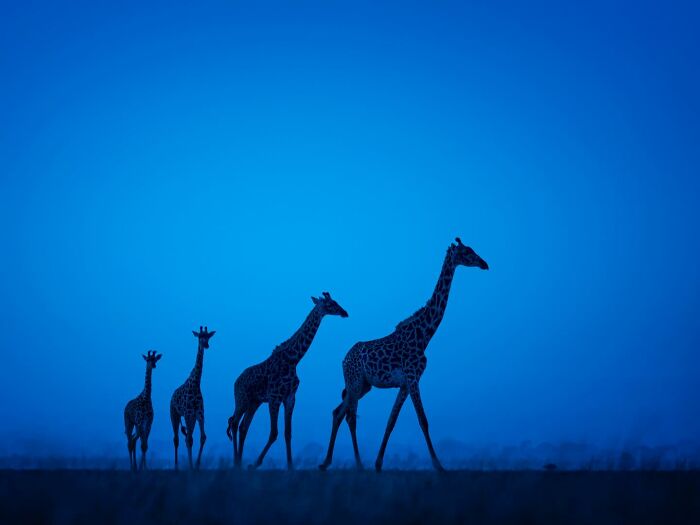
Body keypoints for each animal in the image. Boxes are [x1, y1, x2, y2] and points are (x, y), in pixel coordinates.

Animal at [170, 326, 215, 470]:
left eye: (208, 336)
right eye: (199, 336)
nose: (206, 345)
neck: (195, 385)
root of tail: (172, 396)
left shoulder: (199, 414)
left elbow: (203, 437)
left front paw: (197, 465)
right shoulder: (188, 413)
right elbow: (189, 439)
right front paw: (190, 466)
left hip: (191, 418)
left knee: (187, 437)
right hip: (174, 415)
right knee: (177, 439)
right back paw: (176, 466)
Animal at [226, 292, 348, 470]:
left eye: (336, 301)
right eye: (330, 304)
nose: (344, 312)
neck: (294, 359)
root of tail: (235, 381)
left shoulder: (290, 398)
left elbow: (288, 433)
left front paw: (290, 466)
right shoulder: (274, 398)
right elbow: (274, 433)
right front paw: (255, 463)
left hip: (254, 403)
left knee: (243, 427)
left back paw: (240, 461)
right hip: (242, 400)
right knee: (234, 423)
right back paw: (236, 462)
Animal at [319, 238, 488, 472]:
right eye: (466, 251)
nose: (484, 264)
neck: (425, 334)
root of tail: (344, 359)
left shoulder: (405, 384)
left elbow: (392, 421)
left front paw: (378, 463)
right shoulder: (413, 377)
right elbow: (423, 420)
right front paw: (439, 466)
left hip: (364, 385)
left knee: (339, 412)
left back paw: (330, 462)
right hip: (354, 382)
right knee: (346, 414)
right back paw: (341, 463)